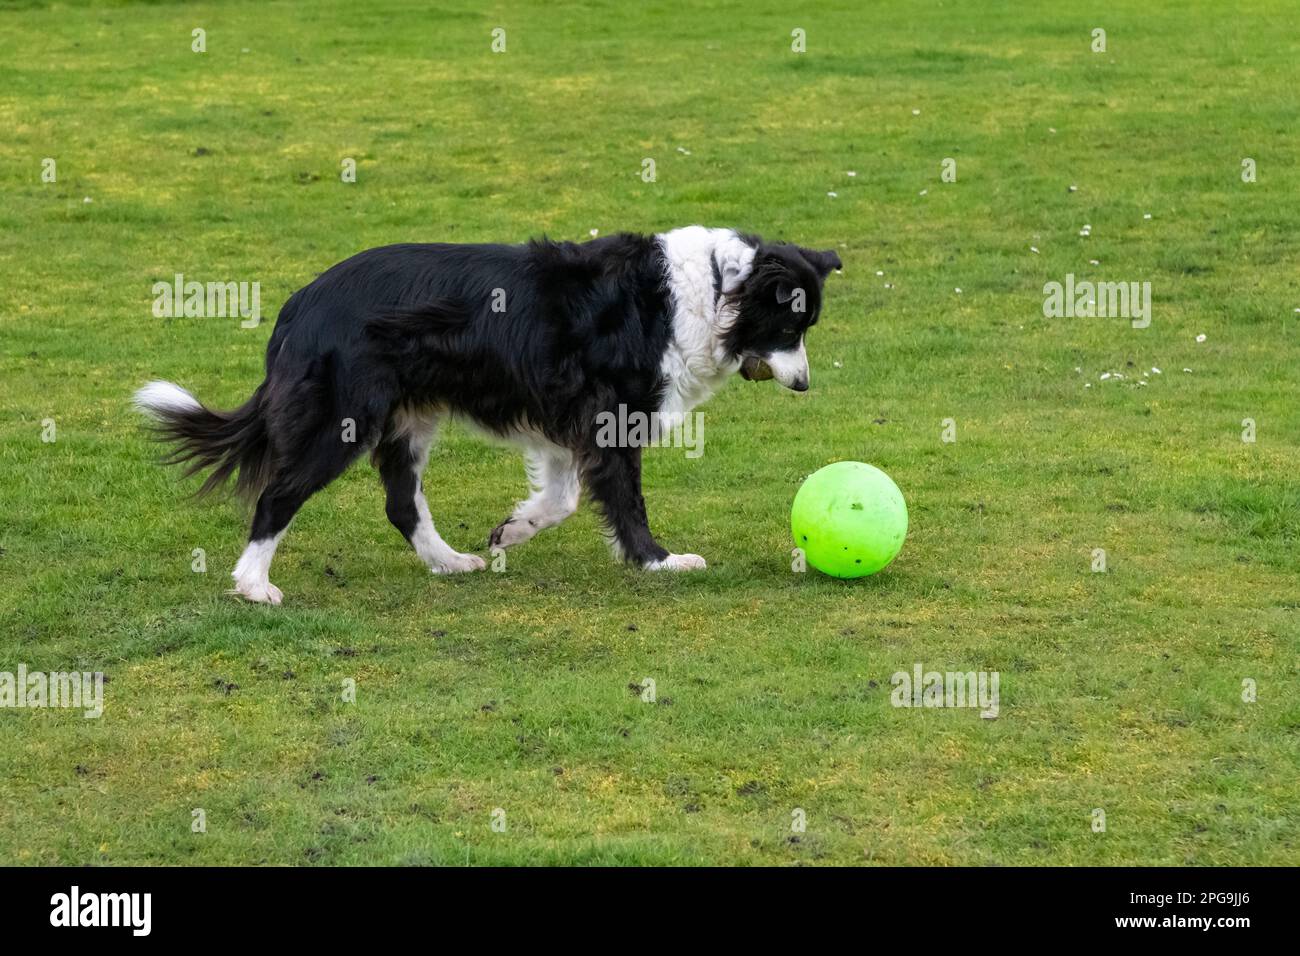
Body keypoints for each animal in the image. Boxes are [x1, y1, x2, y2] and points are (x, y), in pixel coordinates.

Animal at [134, 227, 842, 600]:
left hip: (408, 418)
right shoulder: (610, 415)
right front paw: (656, 561)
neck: (717, 288)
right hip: (344, 418)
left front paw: (512, 531)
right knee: (278, 495)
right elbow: (623, 499)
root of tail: (300, 302)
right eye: (791, 325)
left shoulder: (566, 420)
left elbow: (562, 498)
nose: (807, 385)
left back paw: (448, 561)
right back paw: (254, 584)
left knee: (402, 504)